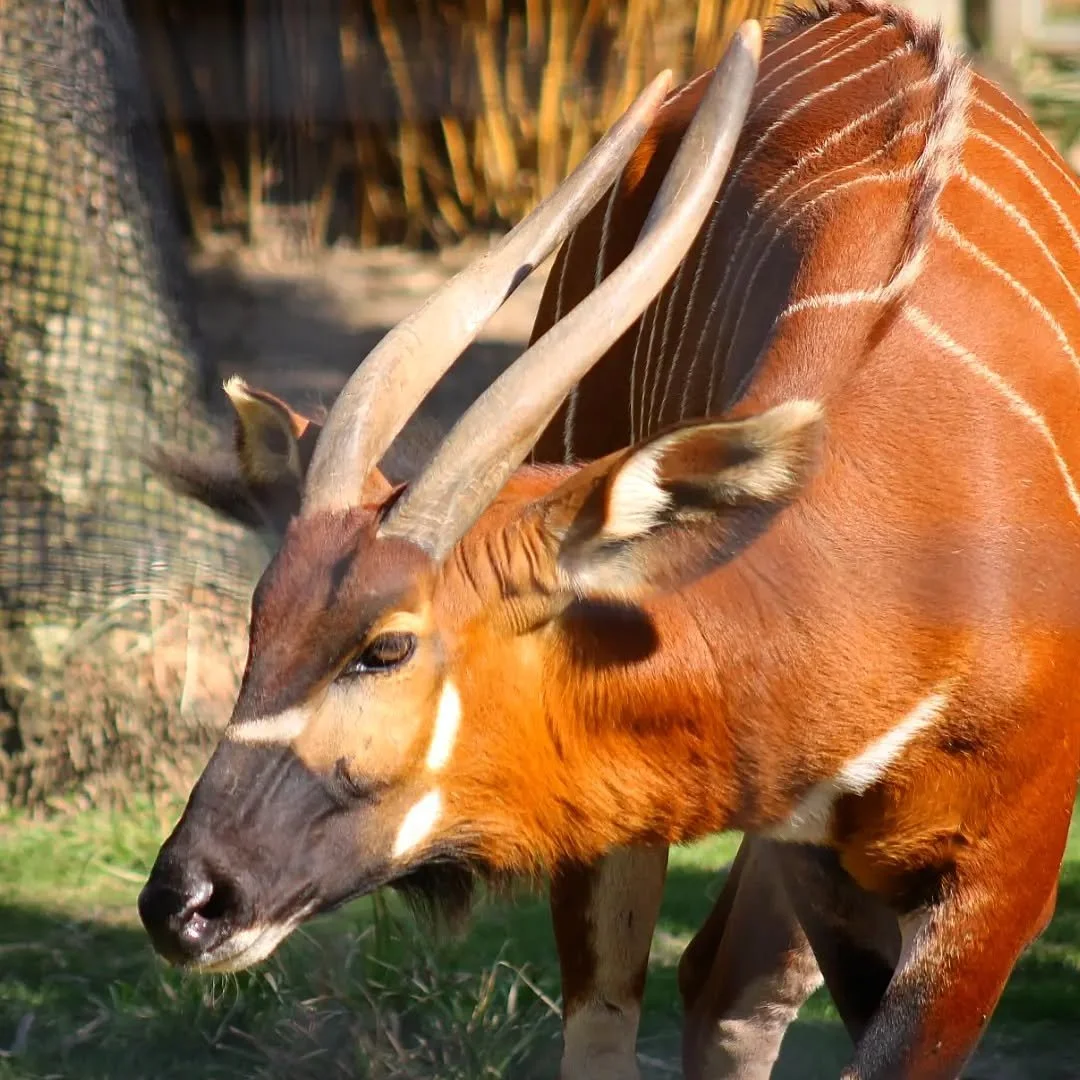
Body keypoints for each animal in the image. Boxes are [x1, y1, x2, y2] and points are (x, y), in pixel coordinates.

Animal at [140, 3, 1080, 1078]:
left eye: (387, 646)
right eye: (260, 621)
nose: (187, 900)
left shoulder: (996, 884)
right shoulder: (821, 865)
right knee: (696, 988)